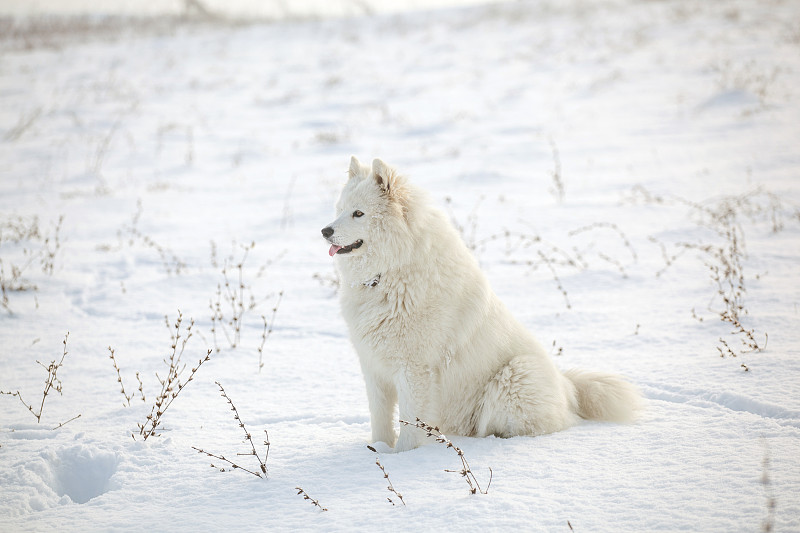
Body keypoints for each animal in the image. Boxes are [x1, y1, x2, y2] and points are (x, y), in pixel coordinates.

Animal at [322, 156, 640, 450]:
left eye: (358, 213)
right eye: (340, 210)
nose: (325, 231)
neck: (390, 274)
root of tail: (568, 388)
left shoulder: (415, 371)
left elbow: (411, 424)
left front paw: (404, 458)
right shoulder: (373, 367)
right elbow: (380, 419)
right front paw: (378, 450)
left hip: (514, 375)